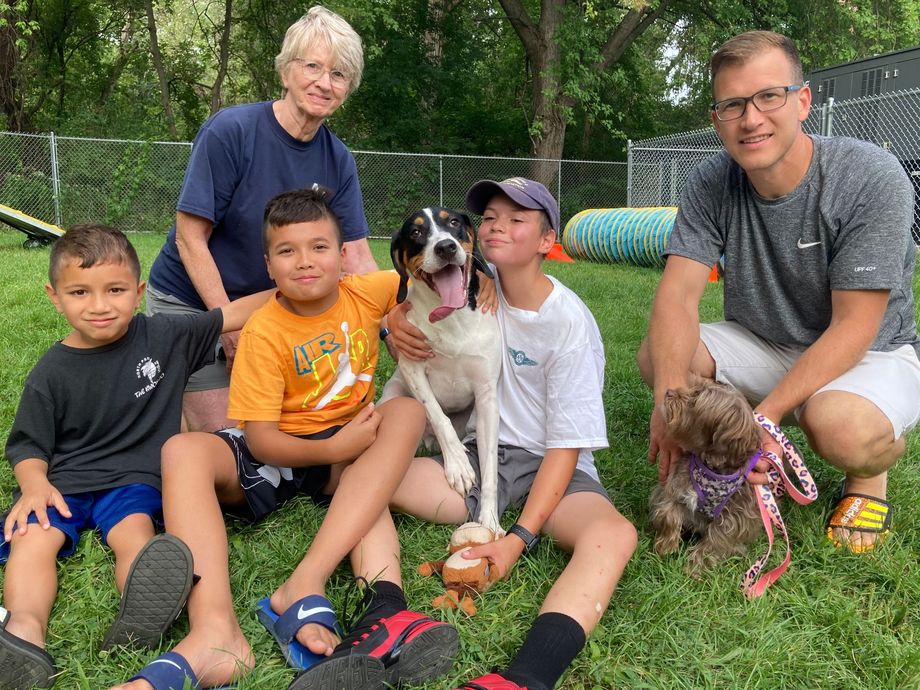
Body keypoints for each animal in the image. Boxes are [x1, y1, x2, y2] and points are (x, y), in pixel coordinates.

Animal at [380, 204, 504, 532]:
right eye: (416, 231)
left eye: (454, 222)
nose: (446, 247)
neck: (452, 320)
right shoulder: (411, 369)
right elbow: (438, 415)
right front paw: (459, 464)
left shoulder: (487, 396)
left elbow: (490, 469)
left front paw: (489, 520)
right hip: (392, 395)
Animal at [652, 378, 764, 572]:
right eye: (693, 389)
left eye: (695, 401)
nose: (669, 392)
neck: (710, 470)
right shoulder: (675, 489)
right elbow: (669, 515)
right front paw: (666, 546)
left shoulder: (733, 519)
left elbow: (714, 542)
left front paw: (694, 567)